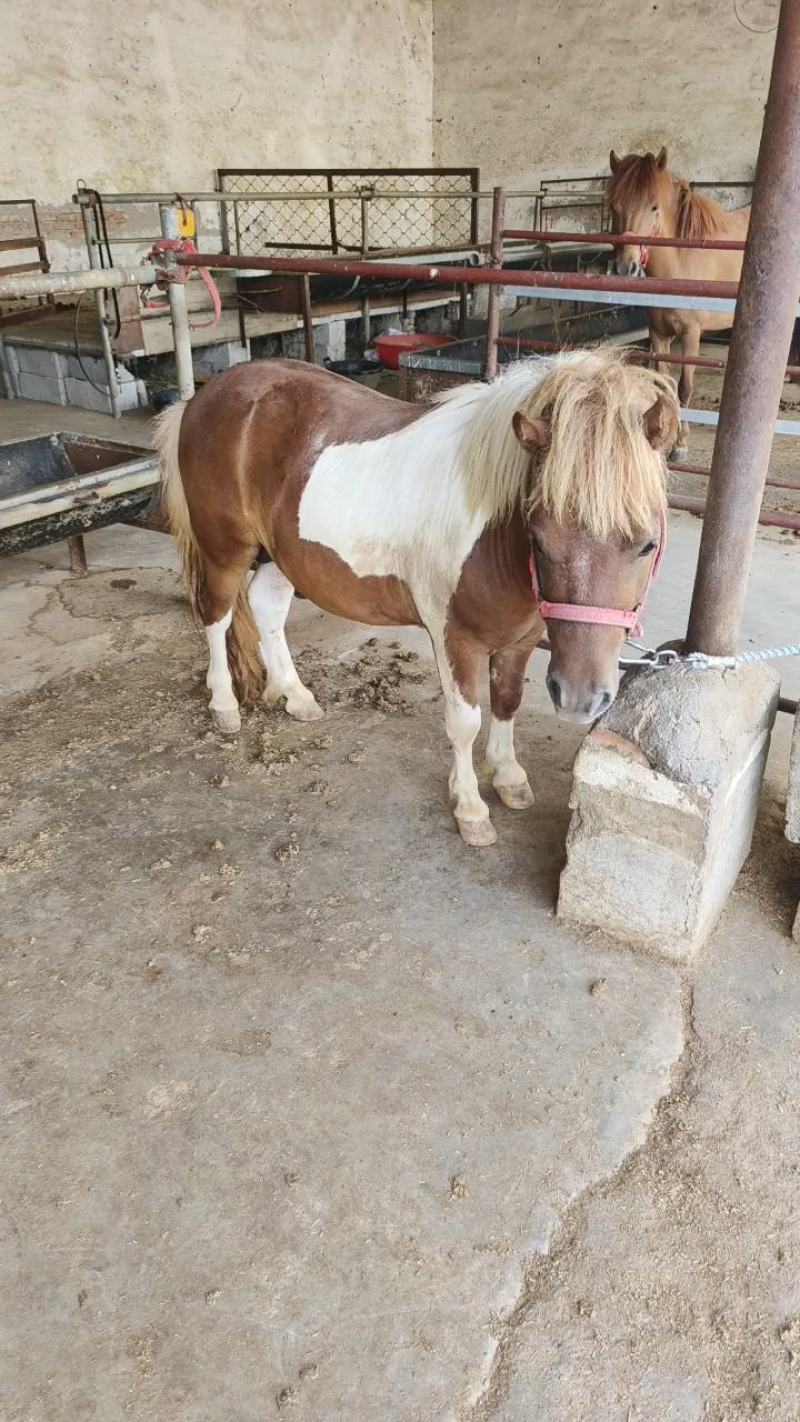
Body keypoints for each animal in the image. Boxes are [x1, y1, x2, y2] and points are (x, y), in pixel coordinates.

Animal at [156, 350, 678, 847]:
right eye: (539, 538)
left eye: (647, 544)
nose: (580, 699)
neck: (491, 533)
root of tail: (202, 397)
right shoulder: (455, 639)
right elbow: (465, 721)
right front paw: (470, 809)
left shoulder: (522, 640)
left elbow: (507, 702)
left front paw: (508, 777)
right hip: (226, 549)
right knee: (217, 616)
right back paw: (225, 705)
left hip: (280, 554)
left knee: (267, 607)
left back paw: (294, 694)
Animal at [607, 147, 750, 458]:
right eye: (613, 206)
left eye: (654, 206)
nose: (626, 267)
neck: (681, 261)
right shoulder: (659, 335)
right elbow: (664, 385)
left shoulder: (690, 335)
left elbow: (684, 389)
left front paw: (681, 445)